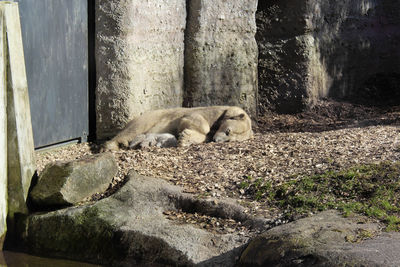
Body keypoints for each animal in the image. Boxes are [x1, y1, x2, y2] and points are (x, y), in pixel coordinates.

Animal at [103, 106, 253, 152]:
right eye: (228, 131)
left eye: (229, 140)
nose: (217, 141)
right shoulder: (209, 112)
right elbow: (193, 119)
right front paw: (185, 135)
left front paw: (185, 138)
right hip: (150, 117)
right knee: (134, 129)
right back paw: (112, 146)